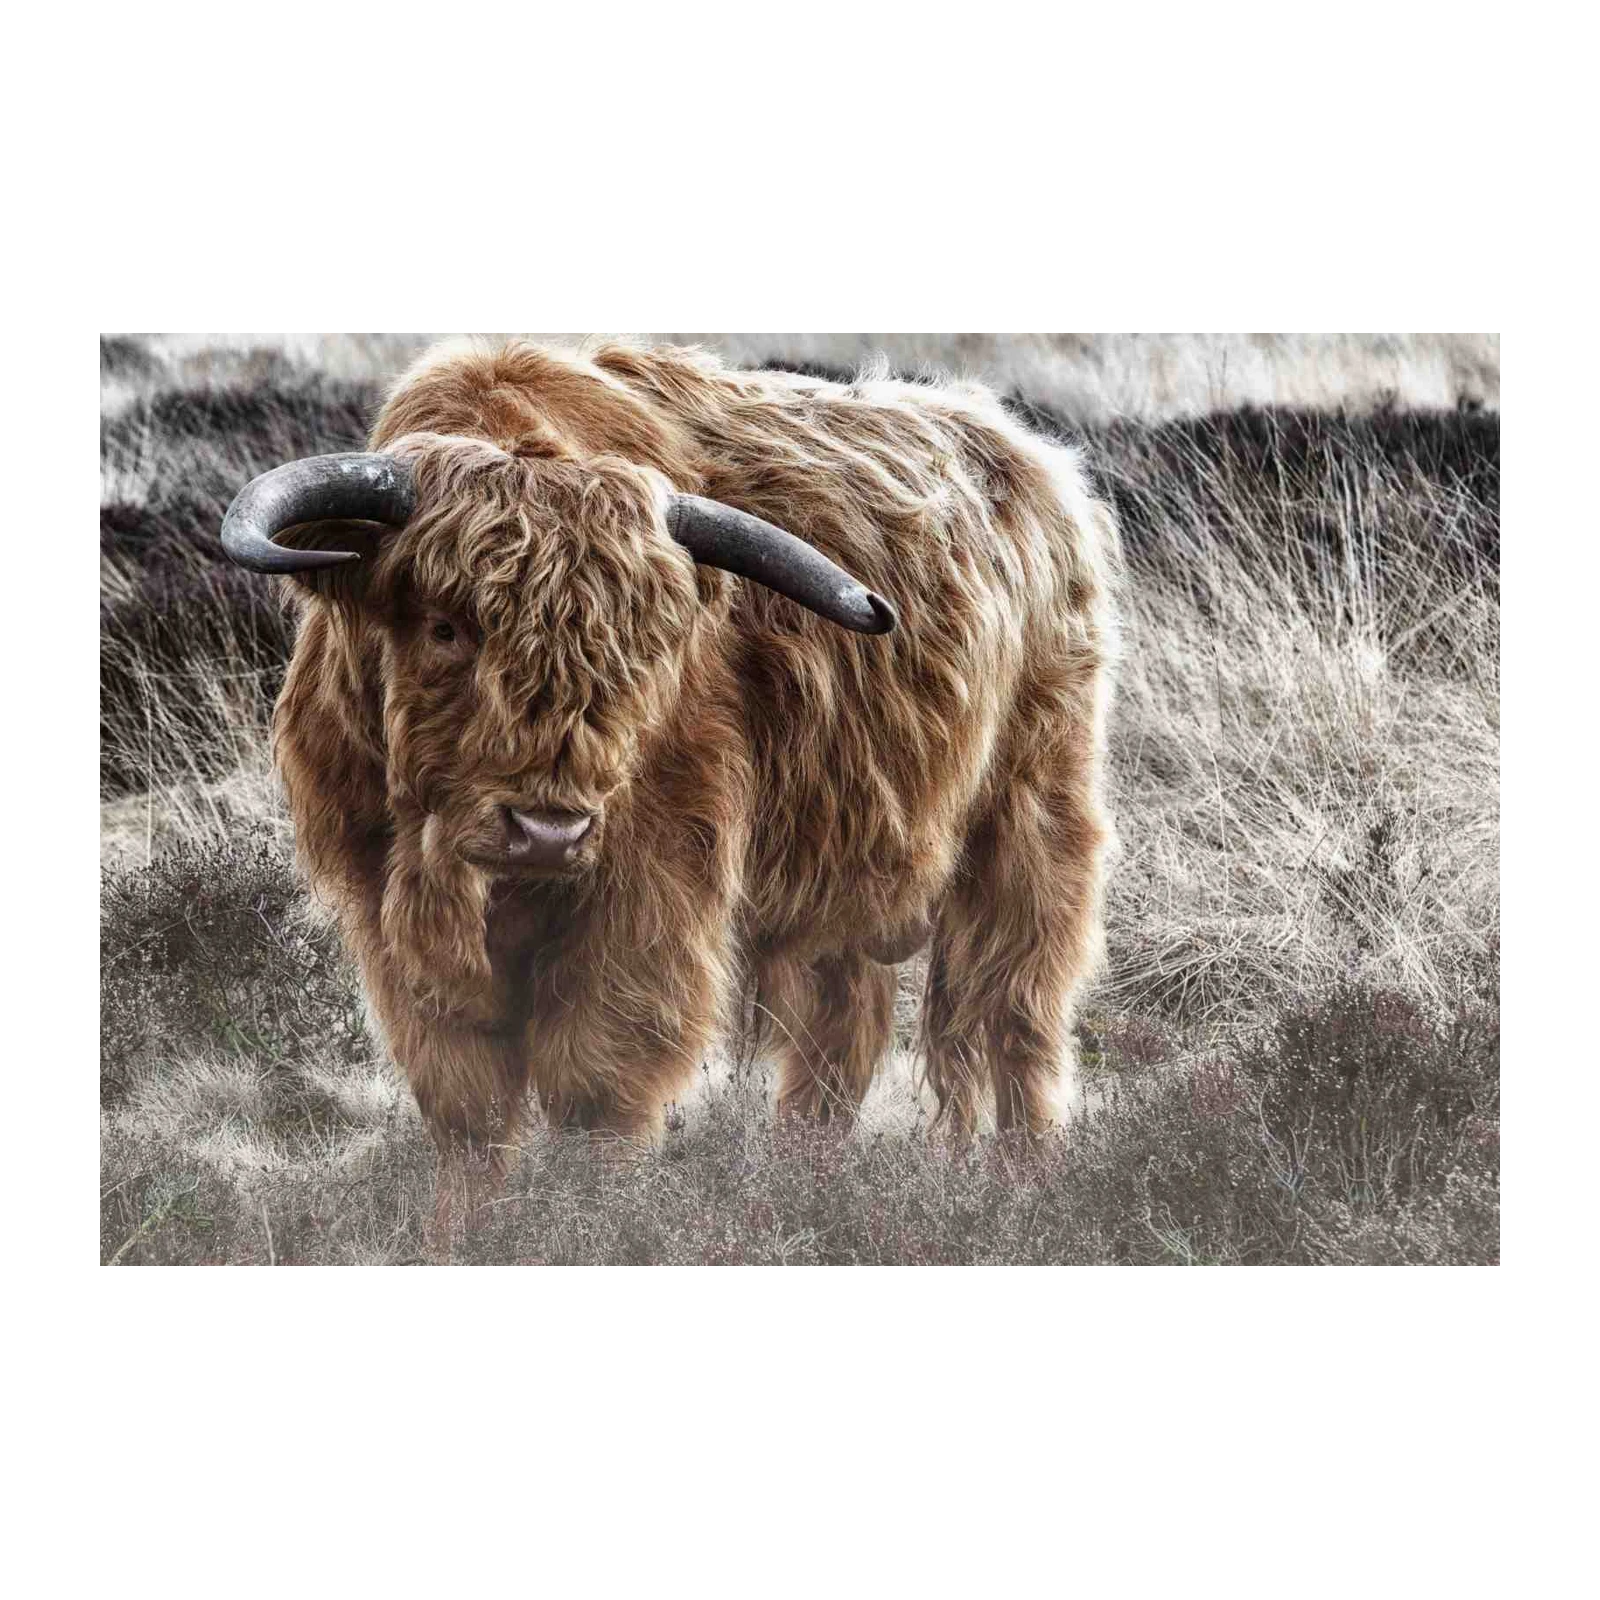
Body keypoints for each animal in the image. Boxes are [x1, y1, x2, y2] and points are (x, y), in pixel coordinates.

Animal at [220, 338, 1121, 1210]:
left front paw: (593, 1220)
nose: (548, 830)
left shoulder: (650, 886)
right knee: (841, 1029)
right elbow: (465, 1098)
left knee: (1019, 1005)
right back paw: (808, 1179)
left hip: (1037, 808)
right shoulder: (385, 902)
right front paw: (466, 1226)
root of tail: (1031, 457)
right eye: (445, 627)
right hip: (849, 864)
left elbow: (599, 1078)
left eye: (640, 649)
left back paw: (1025, 1181)